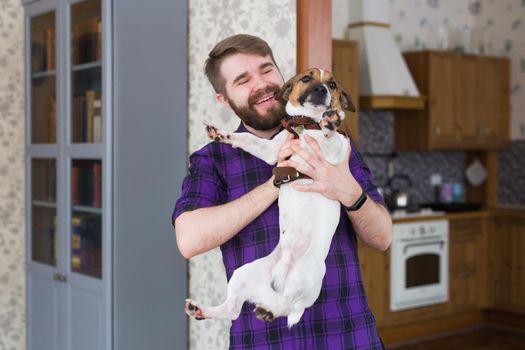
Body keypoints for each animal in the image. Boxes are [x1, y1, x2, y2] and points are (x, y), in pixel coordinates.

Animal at [184, 67, 356, 328]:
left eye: (333, 84)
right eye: (307, 78)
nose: (321, 90)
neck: (307, 125)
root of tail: (274, 286)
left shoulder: (336, 155)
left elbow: (332, 137)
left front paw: (330, 122)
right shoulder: (272, 151)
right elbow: (248, 139)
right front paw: (222, 135)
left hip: (303, 275)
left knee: (286, 305)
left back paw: (269, 311)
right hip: (243, 273)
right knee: (232, 310)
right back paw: (201, 309)